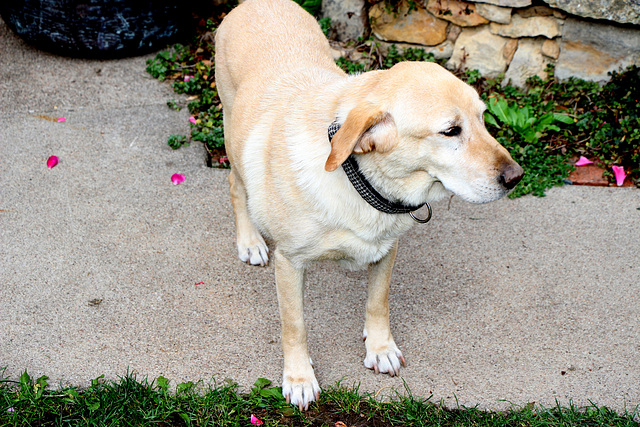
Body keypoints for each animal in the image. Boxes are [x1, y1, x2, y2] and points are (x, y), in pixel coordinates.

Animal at [215, 0, 520, 412]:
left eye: (483, 119)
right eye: (450, 131)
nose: (517, 177)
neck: (357, 178)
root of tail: (256, 3)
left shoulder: (387, 249)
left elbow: (379, 301)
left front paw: (380, 348)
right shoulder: (289, 264)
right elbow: (295, 325)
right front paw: (299, 377)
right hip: (232, 138)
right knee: (236, 185)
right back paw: (249, 241)